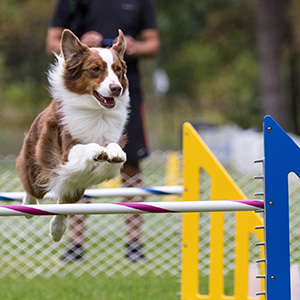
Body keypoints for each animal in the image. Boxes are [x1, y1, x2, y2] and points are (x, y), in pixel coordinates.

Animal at [16, 29, 129, 243]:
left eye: (118, 69)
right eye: (96, 68)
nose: (116, 88)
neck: (96, 112)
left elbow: (115, 152)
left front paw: (114, 153)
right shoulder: (67, 151)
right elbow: (87, 146)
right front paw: (97, 151)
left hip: (77, 186)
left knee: (65, 202)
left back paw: (57, 229)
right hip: (38, 166)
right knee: (33, 188)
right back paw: (28, 207)